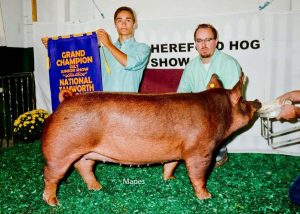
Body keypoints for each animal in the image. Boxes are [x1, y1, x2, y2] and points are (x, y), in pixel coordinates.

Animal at [41, 72, 260, 206]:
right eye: (242, 101)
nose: (257, 101)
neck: (218, 114)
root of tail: (65, 100)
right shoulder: (200, 151)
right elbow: (198, 175)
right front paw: (206, 196)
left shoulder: (176, 151)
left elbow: (171, 164)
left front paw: (169, 179)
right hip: (60, 150)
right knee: (51, 175)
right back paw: (54, 202)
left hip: (86, 153)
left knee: (84, 167)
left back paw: (97, 188)